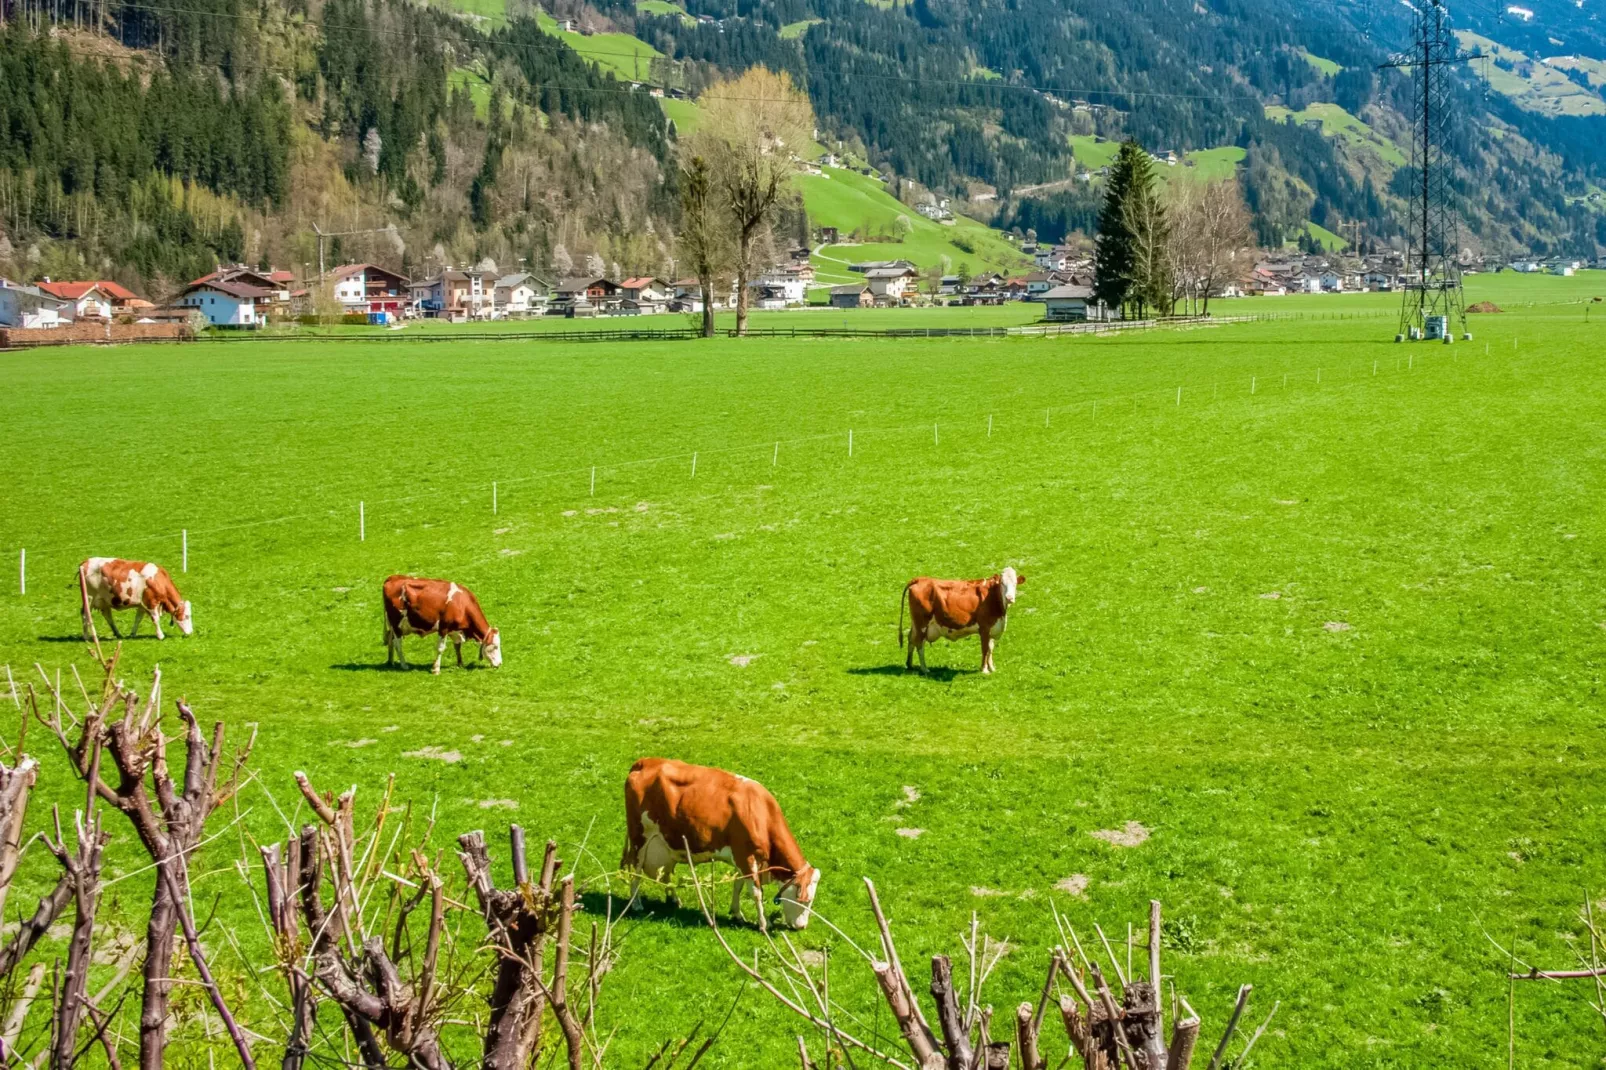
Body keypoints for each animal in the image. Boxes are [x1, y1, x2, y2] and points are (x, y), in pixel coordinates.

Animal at [619, 758, 822, 925]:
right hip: (639, 839)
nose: (801, 927)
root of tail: (644, 762)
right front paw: (764, 924)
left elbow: (738, 885)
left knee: (665, 873)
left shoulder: (742, 859)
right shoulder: (745, 856)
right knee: (636, 870)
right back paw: (636, 904)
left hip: (667, 845)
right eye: (804, 901)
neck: (760, 813)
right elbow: (756, 893)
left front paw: (737, 914)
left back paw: (674, 899)